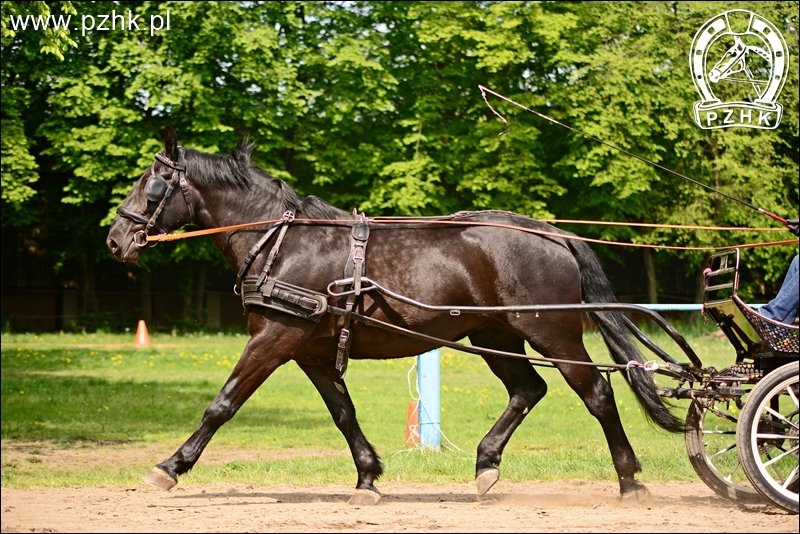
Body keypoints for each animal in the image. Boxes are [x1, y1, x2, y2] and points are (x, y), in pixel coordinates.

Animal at [106, 127, 680, 504]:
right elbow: (344, 413)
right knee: (527, 390)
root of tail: (553, 232)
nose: (115, 239)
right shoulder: (311, 352)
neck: (281, 242)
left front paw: (170, 467)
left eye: (151, 186)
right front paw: (367, 478)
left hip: (552, 333)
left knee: (597, 393)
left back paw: (629, 479)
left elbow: (221, 405)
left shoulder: (274, 339)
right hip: (495, 335)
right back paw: (486, 464)